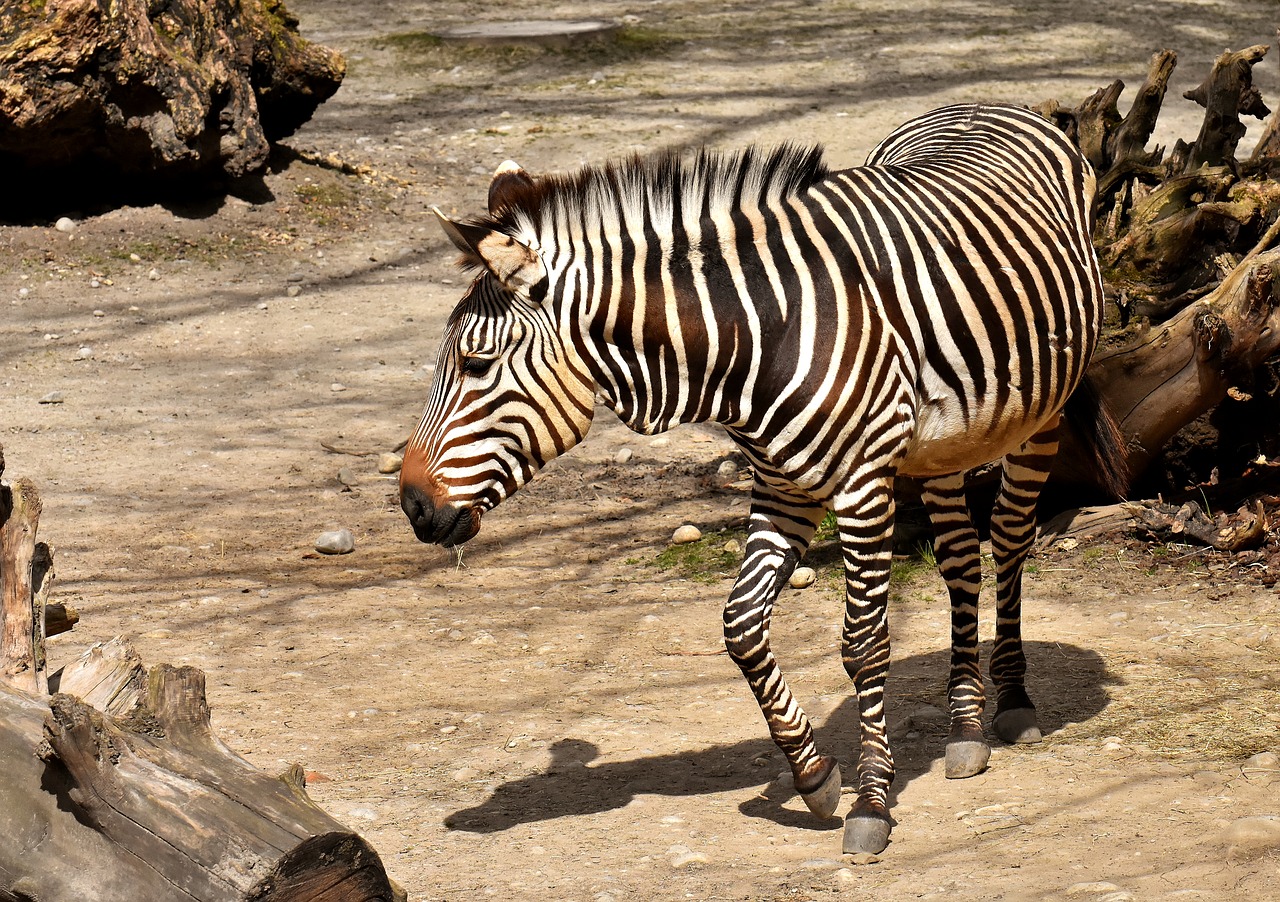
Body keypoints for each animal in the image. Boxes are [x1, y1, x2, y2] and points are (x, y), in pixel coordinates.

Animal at [396, 103, 1121, 849]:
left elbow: (864, 646)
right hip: (942, 443)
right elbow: (740, 626)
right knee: (957, 557)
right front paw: (815, 777)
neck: (754, 340)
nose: (413, 506)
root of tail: (990, 106)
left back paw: (1013, 701)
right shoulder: (781, 485)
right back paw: (966, 726)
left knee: (1007, 538)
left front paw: (872, 802)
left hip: (1042, 411)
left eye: (476, 364)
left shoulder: (862, 487)